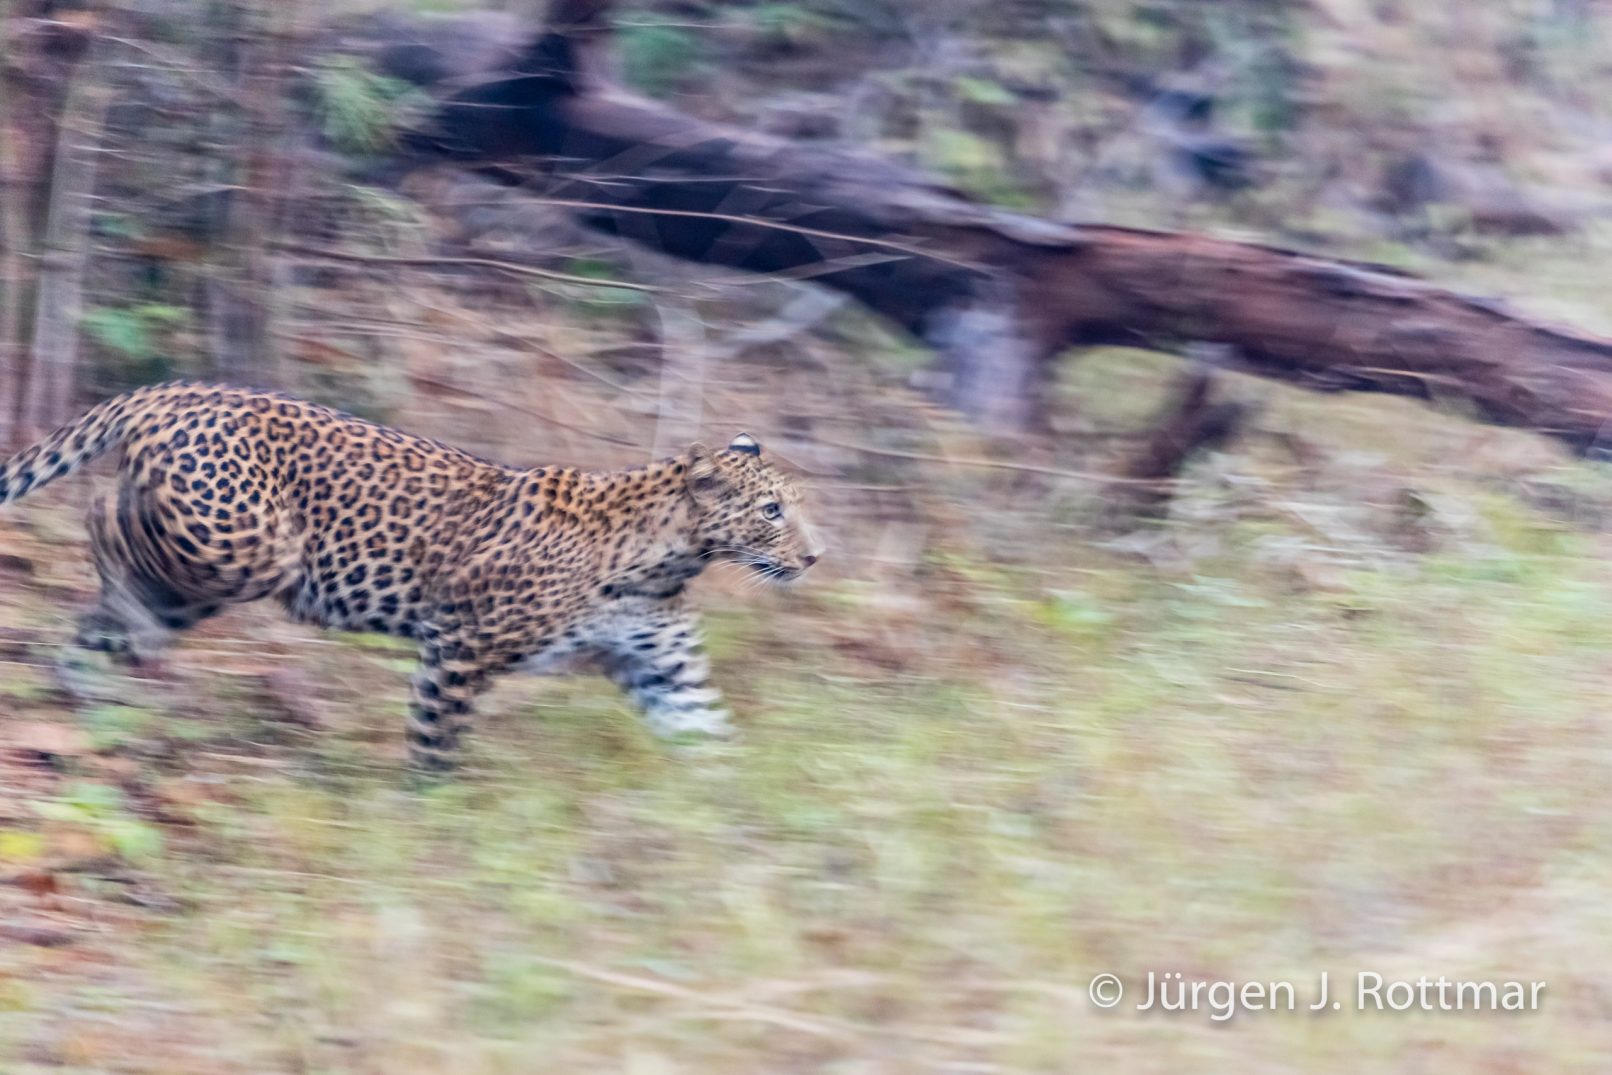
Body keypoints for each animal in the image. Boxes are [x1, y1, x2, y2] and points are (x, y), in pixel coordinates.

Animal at [0, 383, 822, 771]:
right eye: (773, 510)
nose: (815, 556)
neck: (664, 558)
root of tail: (177, 389)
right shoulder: (463, 642)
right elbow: (436, 732)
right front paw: (430, 808)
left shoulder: (664, 669)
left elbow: (710, 744)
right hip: (249, 545)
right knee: (102, 519)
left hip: (204, 573)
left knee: (117, 603)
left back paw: (86, 671)